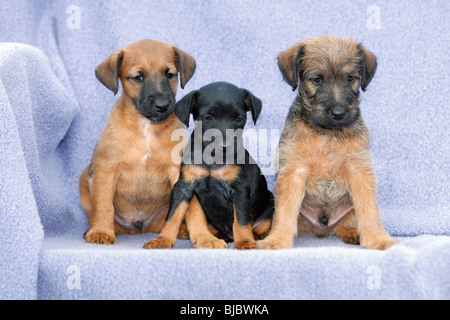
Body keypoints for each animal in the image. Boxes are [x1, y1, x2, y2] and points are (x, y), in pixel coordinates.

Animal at [80, 40, 196, 245]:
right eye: (138, 77)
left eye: (170, 75)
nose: (162, 105)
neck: (146, 127)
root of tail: (139, 228)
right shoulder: (106, 169)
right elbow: (103, 205)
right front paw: (101, 231)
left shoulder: (178, 171)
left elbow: (186, 208)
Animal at [144, 82, 272, 250]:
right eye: (208, 118)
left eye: (239, 118)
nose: (225, 146)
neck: (212, 158)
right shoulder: (183, 187)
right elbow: (172, 216)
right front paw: (162, 239)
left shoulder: (240, 190)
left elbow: (241, 220)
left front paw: (245, 241)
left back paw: (254, 236)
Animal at [256, 35, 398, 250]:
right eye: (317, 79)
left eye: (351, 78)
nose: (338, 113)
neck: (327, 133)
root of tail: (322, 228)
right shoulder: (293, 173)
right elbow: (284, 212)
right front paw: (276, 239)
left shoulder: (359, 171)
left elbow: (369, 210)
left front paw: (377, 238)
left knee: (346, 223)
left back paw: (352, 233)